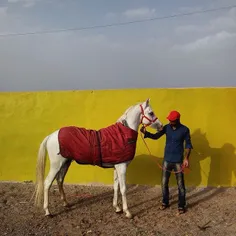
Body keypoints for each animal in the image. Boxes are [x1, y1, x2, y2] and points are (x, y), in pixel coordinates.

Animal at [33, 97, 162, 218]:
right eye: (151, 113)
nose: (161, 126)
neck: (122, 135)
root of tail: (51, 136)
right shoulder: (122, 167)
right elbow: (123, 188)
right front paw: (127, 212)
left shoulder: (116, 167)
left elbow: (116, 187)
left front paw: (117, 208)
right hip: (56, 165)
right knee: (47, 183)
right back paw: (48, 211)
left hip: (65, 163)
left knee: (60, 180)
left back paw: (66, 203)